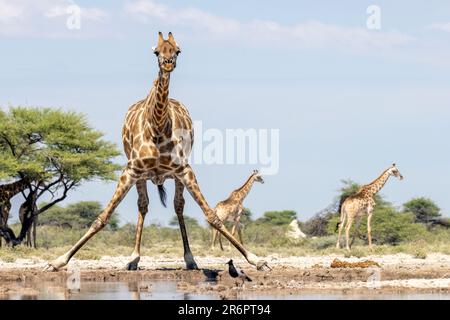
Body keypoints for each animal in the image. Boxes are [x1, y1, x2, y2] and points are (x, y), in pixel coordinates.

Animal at [44, 31, 268, 272]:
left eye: (178, 50)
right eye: (156, 51)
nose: (168, 63)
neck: (158, 128)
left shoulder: (184, 170)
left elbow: (212, 217)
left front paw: (257, 260)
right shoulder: (130, 170)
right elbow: (102, 218)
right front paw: (57, 261)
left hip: (176, 177)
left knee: (178, 207)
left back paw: (190, 259)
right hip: (141, 177)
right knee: (143, 206)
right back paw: (133, 258)